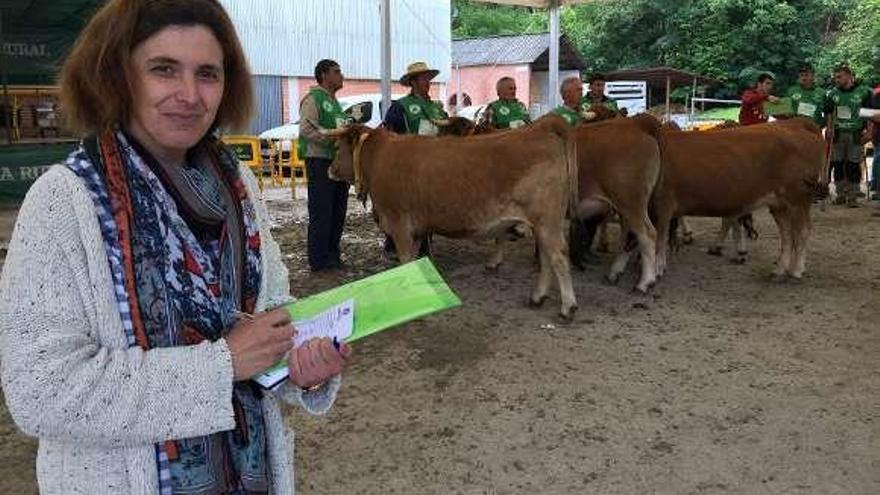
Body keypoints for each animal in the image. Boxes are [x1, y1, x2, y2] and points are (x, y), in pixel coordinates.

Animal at [326, 115, 580, 320]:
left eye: (337, 147)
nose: (330, 170)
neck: (379, 157)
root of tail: (541, 126)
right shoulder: (416, 230)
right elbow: (415, 260)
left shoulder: (399, 225)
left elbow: (406, 260)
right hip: (543, 224)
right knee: (546, 256)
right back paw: (538, 296)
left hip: (547, 221)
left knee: (558, 256)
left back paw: (568, 307)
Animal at [652, 116, 832, 280]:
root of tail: (797, 122)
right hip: (778, 203)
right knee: (786, 233)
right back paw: (779, 268)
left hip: (798, 198)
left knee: (802, 230)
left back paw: (797, 270)